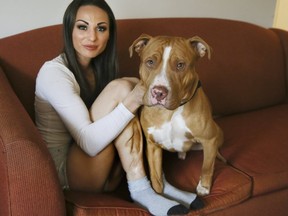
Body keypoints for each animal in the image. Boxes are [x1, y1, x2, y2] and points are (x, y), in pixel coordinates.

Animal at [129, 33, 226, 196]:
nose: (159, 92)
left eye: (180, 65)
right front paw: (159, 193)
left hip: (217, 133)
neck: (170, 112)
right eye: (150, 62)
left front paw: (204, 187)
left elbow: (206, 167)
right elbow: (156, 177)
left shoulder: (209, 140)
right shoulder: (152, 145)